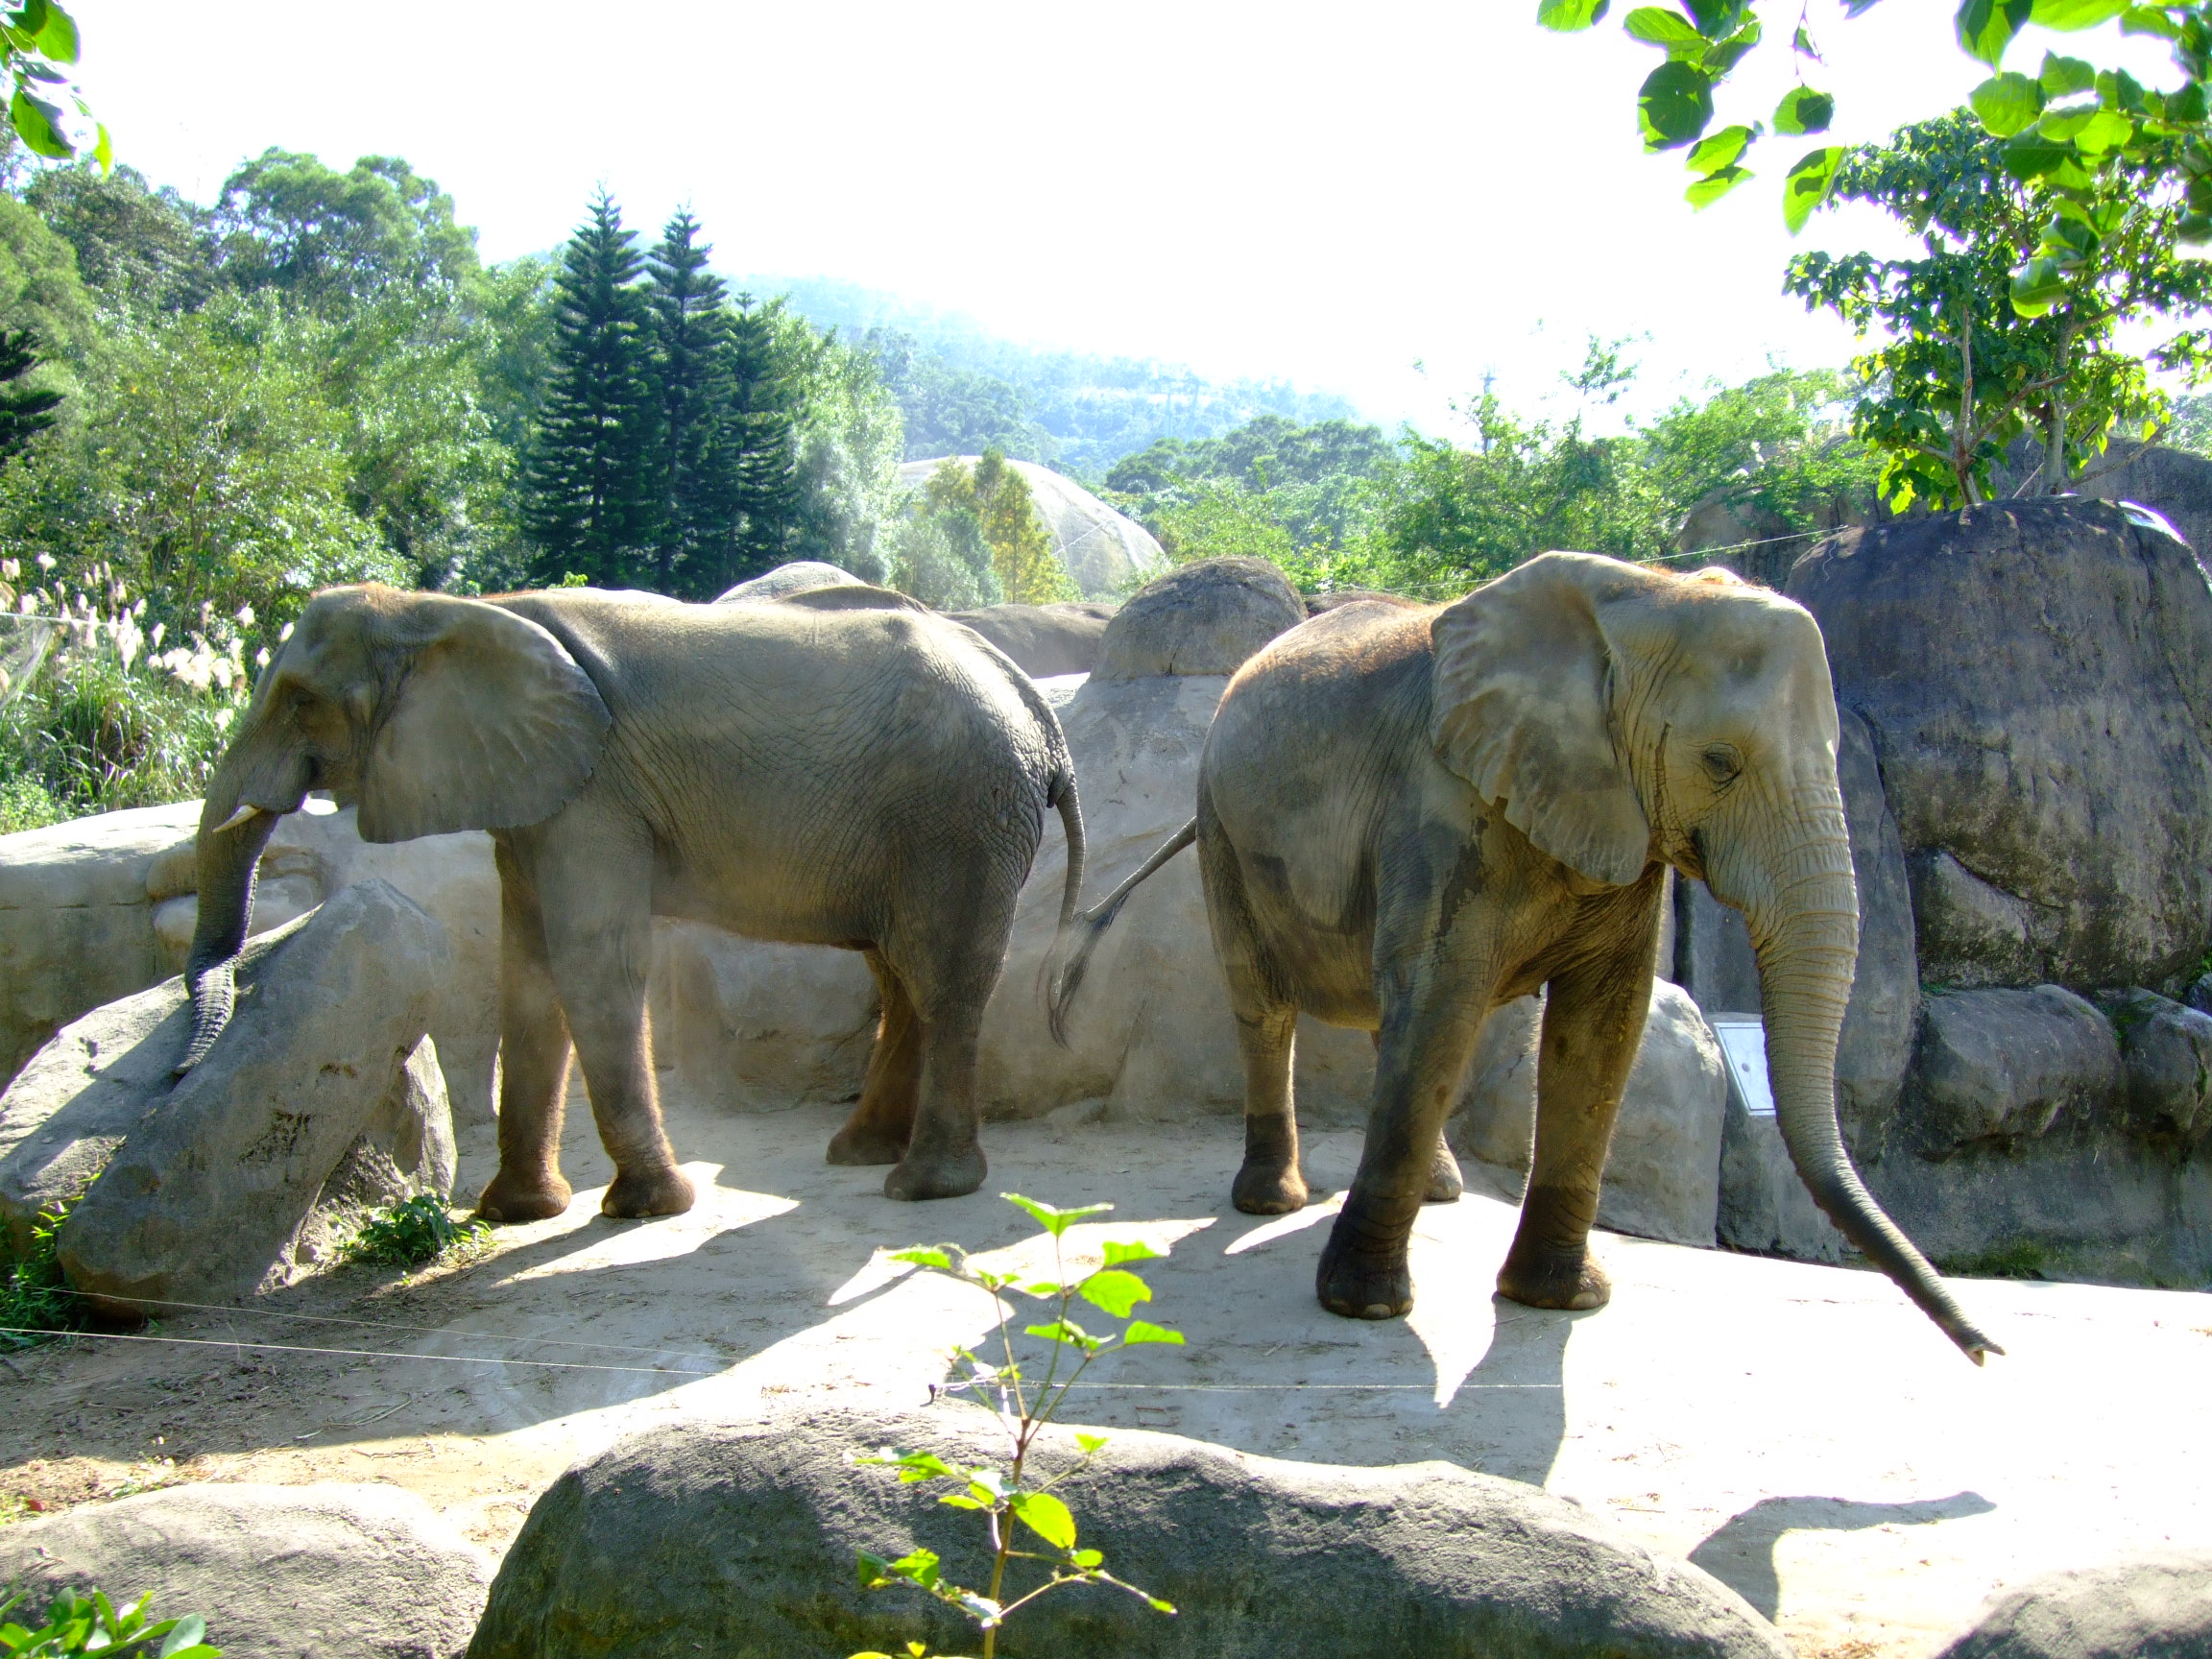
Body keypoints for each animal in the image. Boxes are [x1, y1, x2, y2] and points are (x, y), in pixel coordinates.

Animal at [180, 581, 1086, 1219]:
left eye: (301, 699)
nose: (186, 1069)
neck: (451, 612)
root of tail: (1036, 709)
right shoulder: (542, 793)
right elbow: (528, 970)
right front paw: (516, 1215)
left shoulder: (597, 793)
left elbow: (593, 964)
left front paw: (648, 1209)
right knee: (899, 974)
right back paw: (859, 1153)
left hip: (960, 814)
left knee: (942, 977)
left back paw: (923, 1187)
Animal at [1053, 551, 1997, 1362]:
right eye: (1720, 762)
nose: (1986, 1349)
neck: (1636, 596)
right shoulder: (1441, 803)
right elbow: (1445, 1003)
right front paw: (1362, 1308)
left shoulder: (1618, 822)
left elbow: (1601, 1029)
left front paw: (1562, 1301)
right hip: (1221, 818)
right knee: (1270, 1006)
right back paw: (1271, 1201)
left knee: (1386, 1020)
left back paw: (1438, 1192)